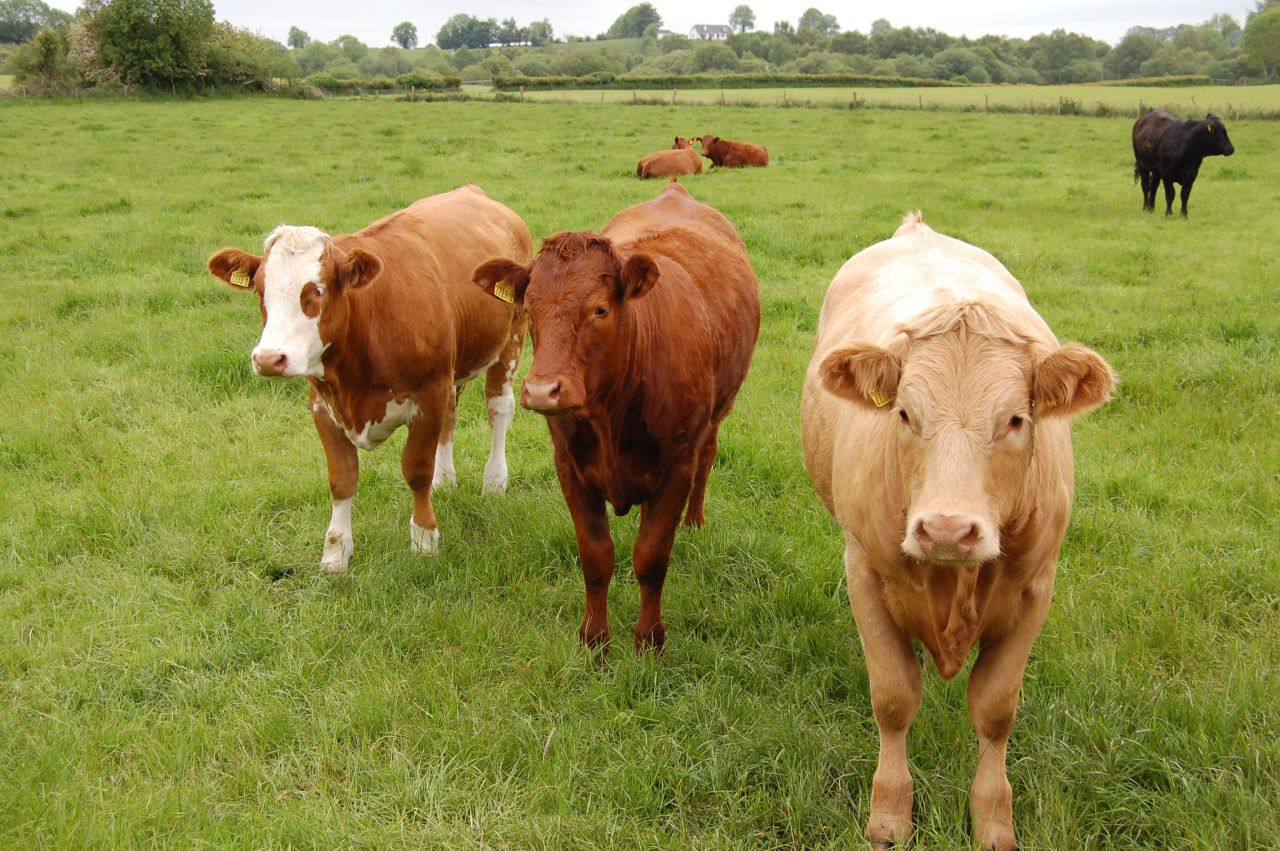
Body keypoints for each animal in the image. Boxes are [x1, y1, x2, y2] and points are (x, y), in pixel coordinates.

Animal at [206, 185, 532, 573]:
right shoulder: (323, 404)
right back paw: (445, 479)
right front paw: (335, 552)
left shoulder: (429, 395)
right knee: (452, 416)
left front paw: (424, 540)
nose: (269, 358)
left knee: (499, 409)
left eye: (317, 290)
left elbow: (416, 469)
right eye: (259, 289)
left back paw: (494, 481)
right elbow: (342, 478)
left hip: (511, 339)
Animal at [472, 181, 760, 652]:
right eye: (529, 310)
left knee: (707, 459)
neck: (613, 415)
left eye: (600, 309)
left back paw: (694, 522)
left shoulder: (676, 466)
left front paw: (649, 641)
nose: (542, 389)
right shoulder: (569, 467)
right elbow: (596, 557)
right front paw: (594, 640)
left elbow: (651, 557)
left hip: (717, 414)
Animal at [801, 213, 1114, 850]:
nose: (946, 529)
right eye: (903, 414)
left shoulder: (1036, 587)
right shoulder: (864, 571)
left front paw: (992, 818)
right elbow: (894, 697)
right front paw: (889, 813)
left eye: (1015, 419)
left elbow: (995, 708)